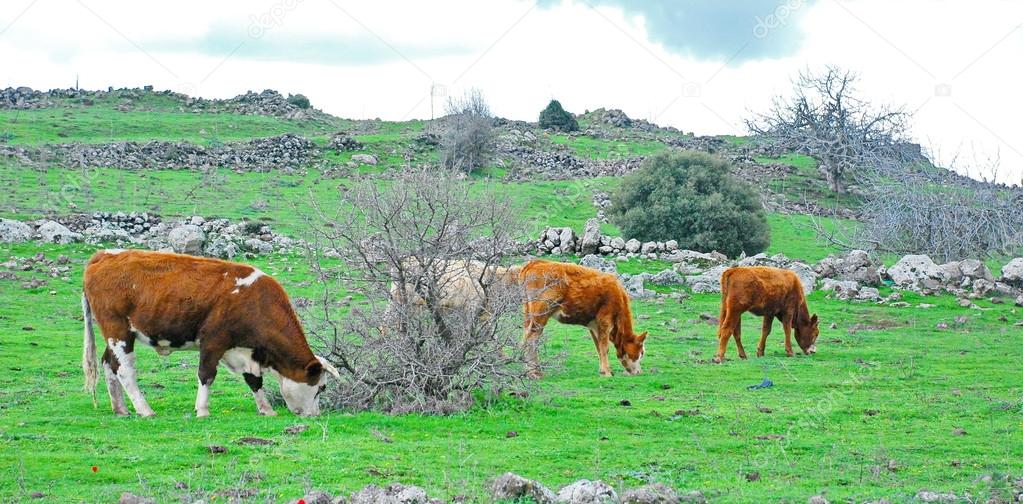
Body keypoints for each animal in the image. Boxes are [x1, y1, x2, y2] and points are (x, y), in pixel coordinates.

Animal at [79, 247, 341, 417]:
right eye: (321, 387)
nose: (315, 415)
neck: (257, 302)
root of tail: (103, 255)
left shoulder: (245, 350)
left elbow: (253, 380)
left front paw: (266, 409)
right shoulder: (213, 341)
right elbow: (206, 374)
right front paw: (202, 410)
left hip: (116, 335)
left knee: (108, 363)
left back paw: (120, 409)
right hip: (118, 330)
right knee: (124, 369)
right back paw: (145, 410)